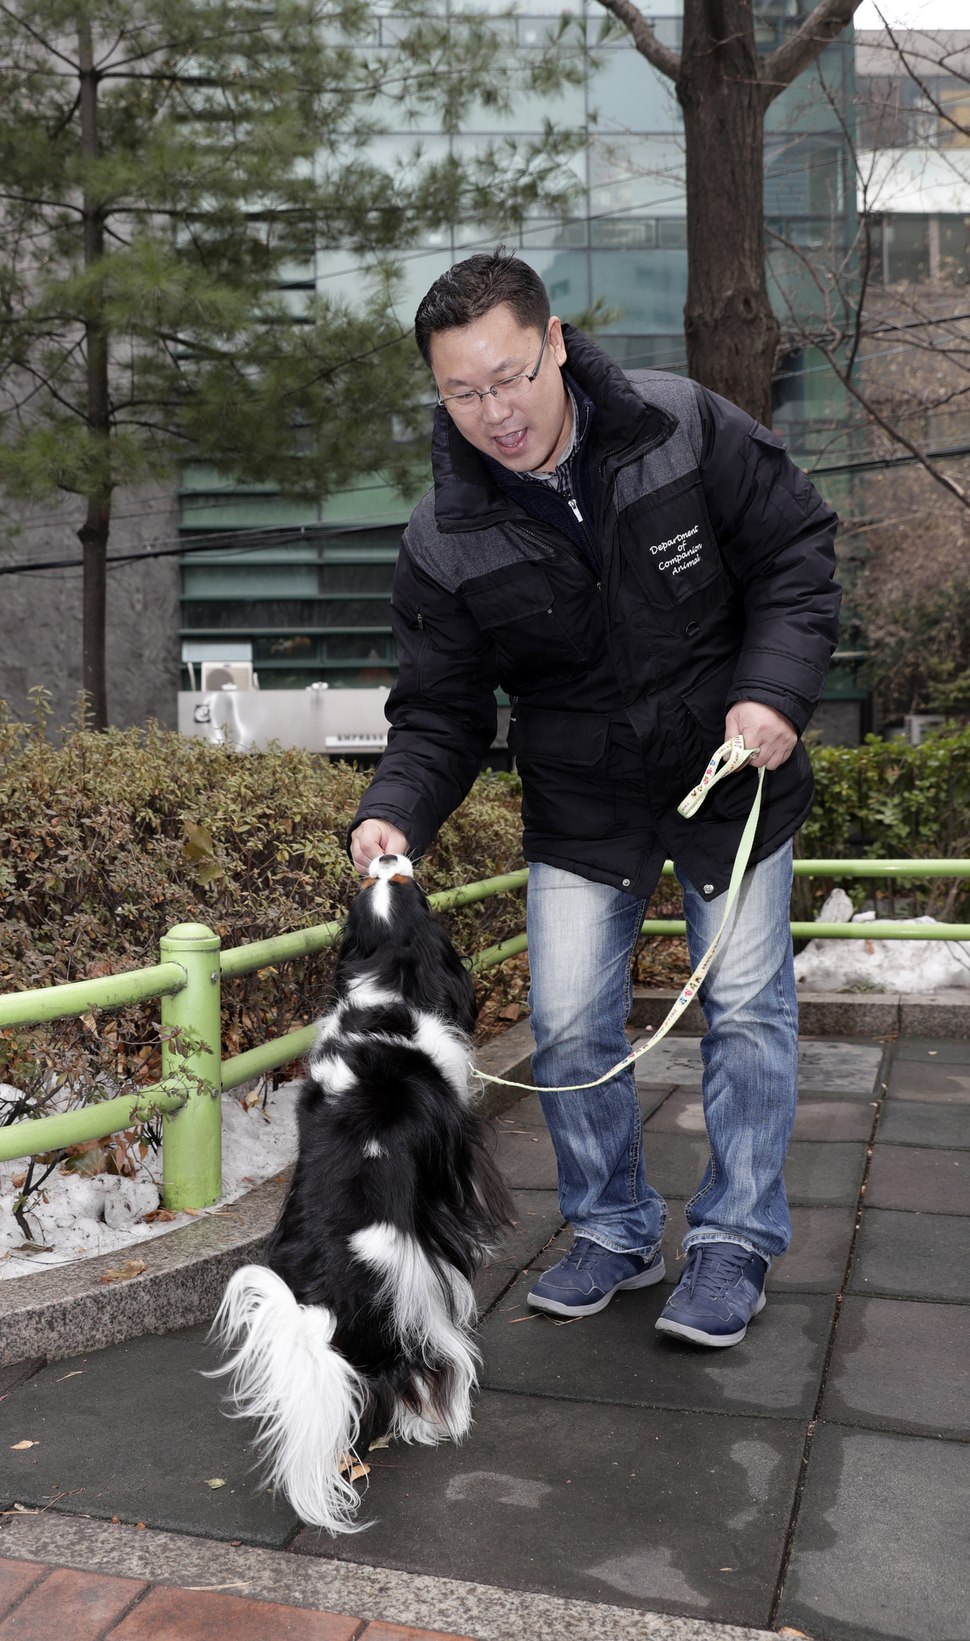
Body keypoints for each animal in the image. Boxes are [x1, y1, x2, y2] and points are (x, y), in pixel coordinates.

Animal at [208, 853, 512, 1529]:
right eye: (404, 886)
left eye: (382, 883)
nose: (386, 854)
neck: (383, 996)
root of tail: (323, 1304)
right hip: (421, 1301)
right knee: (428, 1370)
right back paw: (443, 1422)